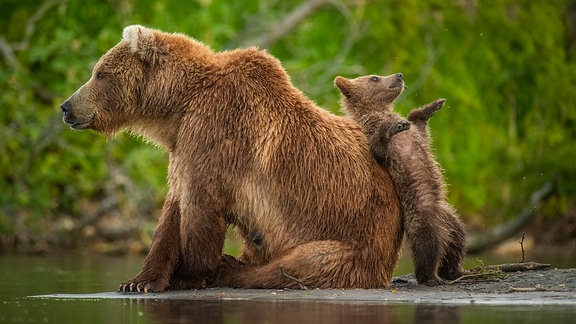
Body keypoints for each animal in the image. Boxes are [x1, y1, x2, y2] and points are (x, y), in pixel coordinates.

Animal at [58, 25, 400, 292]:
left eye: (100, 73)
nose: (66, 106)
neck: (178, 107)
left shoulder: (216, 133)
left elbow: (200, 206)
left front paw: (188, 273)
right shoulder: (184, 145)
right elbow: (172, 210)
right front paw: (139, 281)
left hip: (354, 237)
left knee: (301, 263)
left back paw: (231, 267)